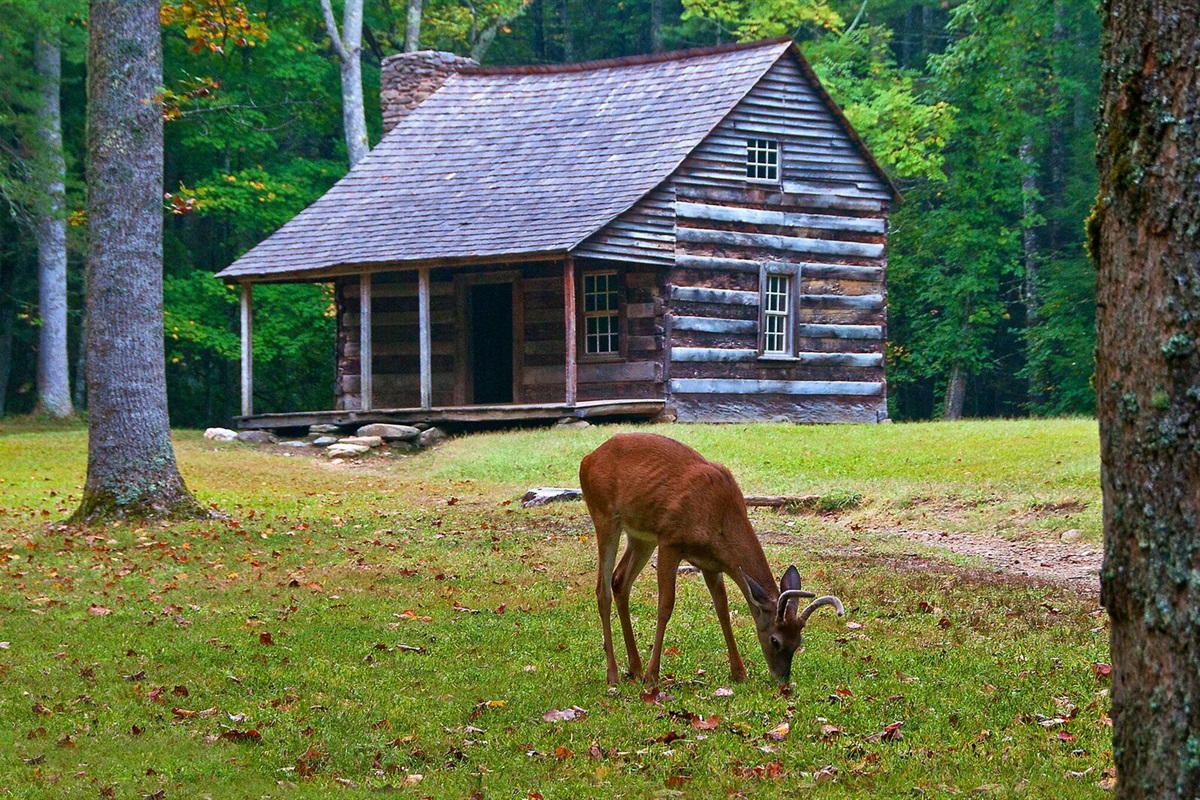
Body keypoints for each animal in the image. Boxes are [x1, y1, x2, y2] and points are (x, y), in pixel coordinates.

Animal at [579, 432, 844, 686]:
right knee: (602, 589)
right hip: (605, 516)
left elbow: (722, 609)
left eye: (798, 641)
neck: (719, 517)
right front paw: (653, 676)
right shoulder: (670, 541)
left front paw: (739, 673)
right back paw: (614, 674)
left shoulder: (711, 564)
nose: (782, 678)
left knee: (620, 581)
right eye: (775, 640)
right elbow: (665, 605)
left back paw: (635, 669)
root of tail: (587, 459)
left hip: (641, 536)